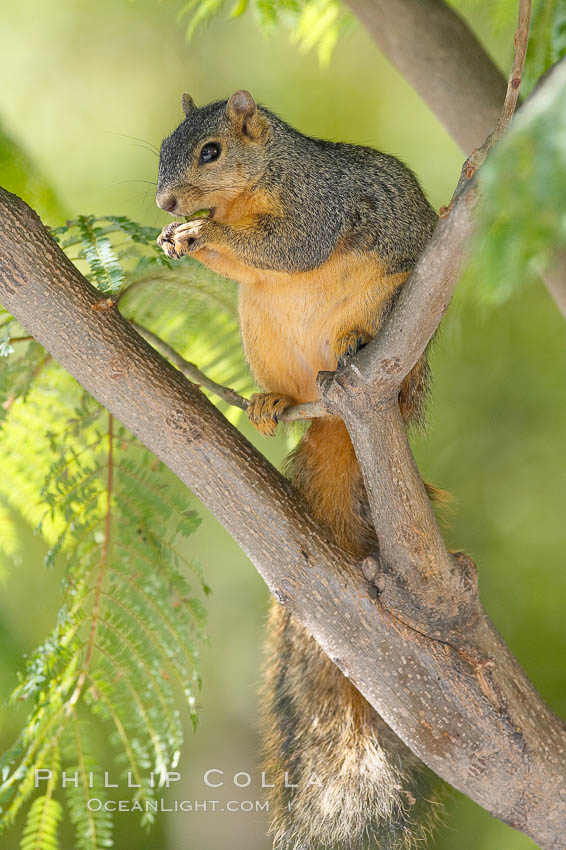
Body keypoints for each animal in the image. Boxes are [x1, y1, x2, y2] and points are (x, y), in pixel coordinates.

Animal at [156, 89, 444, 844]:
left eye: (210, 152)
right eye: (162, 151)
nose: (165, 202)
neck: (261, 181)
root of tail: (338, 413)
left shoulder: (321, 204)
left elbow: (290, 247)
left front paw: (201, 235)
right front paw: (178, 236)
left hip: (392, 317)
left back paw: (356, 343)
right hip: (259, 323)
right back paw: (269, 402)